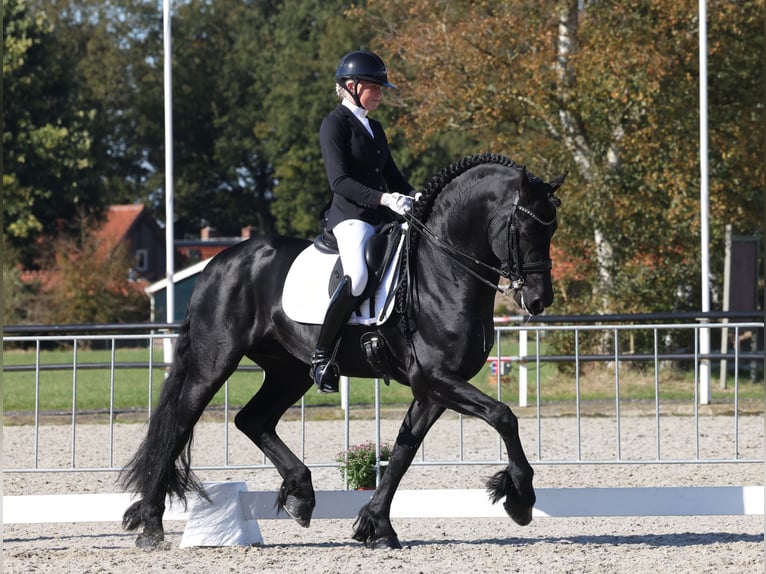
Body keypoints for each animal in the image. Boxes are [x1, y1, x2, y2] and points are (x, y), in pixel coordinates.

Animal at [120, 152, 564, 548]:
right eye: (524, 227)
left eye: (552, 229)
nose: (539, 300)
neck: (443, 271)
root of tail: (218, 263)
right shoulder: (436, 378)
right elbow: (504, 416)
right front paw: (520, 499)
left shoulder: (434, 388)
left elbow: (402, 452)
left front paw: (376, 526)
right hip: (215, 361)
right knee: (180, 422)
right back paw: (152, 525)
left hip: (288, 370)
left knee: (253, 419)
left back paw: (301, 495)